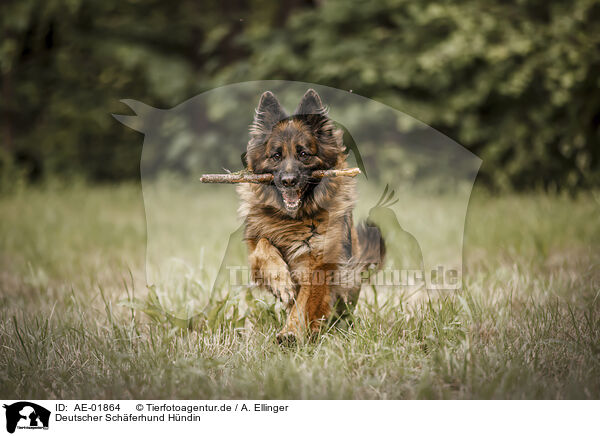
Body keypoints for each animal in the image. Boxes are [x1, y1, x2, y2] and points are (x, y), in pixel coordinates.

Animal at [237, 87, 382, 340]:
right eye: (276, 156)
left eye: (304, 154)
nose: (288, 181)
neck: (293, 220)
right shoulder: (255, 250)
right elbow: (264, 247)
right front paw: (281, 281)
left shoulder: (318, 265)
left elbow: (305, 304)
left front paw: (291, 332)